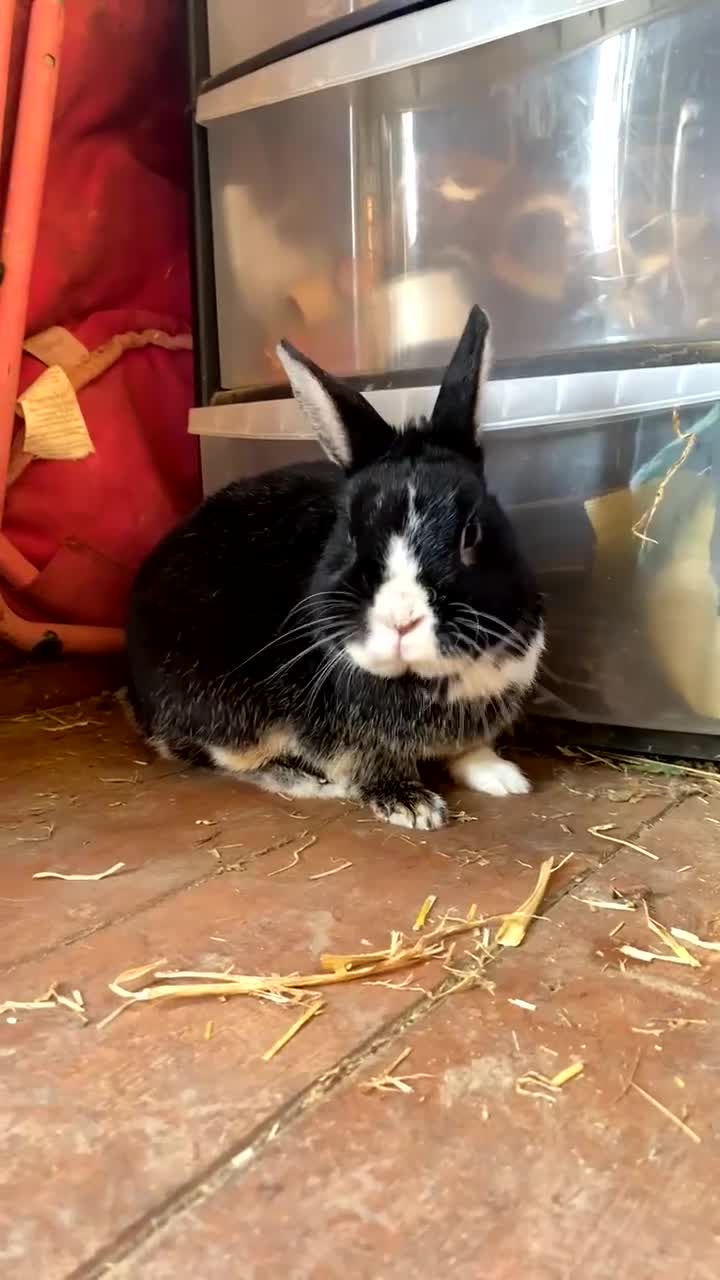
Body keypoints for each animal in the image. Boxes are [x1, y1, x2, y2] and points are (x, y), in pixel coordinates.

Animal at [126, 306, 544, 829]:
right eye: (349, 532)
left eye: (472, 534)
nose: (402, 621)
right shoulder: (336, 733)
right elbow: (365, 760)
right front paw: (412, 806)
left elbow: (471, 748)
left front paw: (503, 777)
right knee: (211, 752)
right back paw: (303, 780)